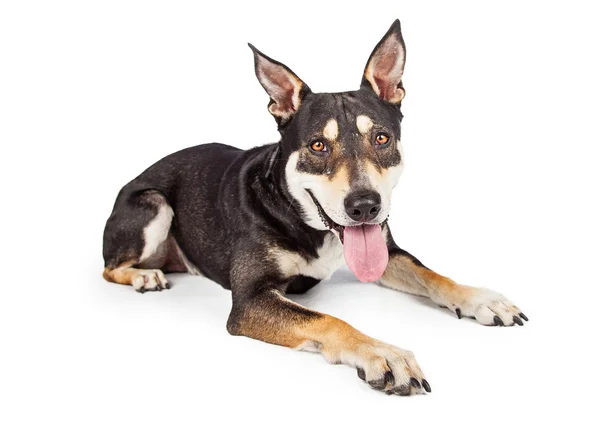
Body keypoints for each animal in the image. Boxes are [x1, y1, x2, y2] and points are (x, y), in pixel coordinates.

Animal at [104, 19, 528, 394]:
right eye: (318, 145)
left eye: (382, 138)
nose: (365, 207)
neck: (305, 220)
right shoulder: (251, 300)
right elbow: (328, 319)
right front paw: (384, 354)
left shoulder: (386, 252)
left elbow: (432, 275)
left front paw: (481, 299)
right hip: (154, 205)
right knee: (111, 268)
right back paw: (144, 276)